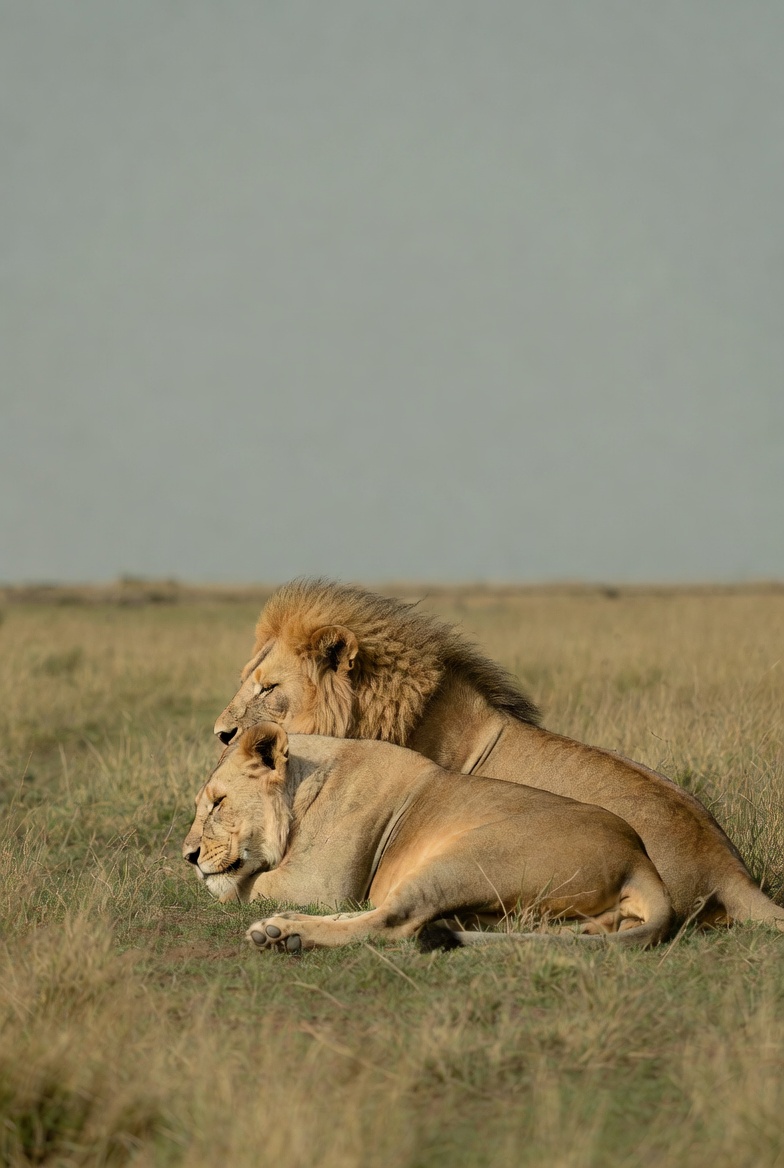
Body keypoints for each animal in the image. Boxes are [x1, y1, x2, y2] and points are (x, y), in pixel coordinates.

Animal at [184, 723, 675, 951]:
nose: (189, 855)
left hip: (469, 858)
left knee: (395, 921)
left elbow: (244, 885)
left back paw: (283, 933)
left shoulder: (323, 885)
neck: (303, 787)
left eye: (218, 803)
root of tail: (639, 858)